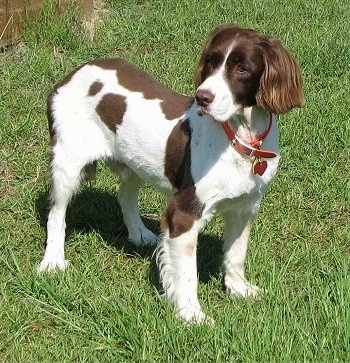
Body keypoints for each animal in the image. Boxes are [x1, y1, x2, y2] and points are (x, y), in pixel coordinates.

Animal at [39, 23, 304, 324]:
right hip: (67, 160)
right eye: (211, 61)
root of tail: (72, 74)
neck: (241, 136)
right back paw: (52, 262)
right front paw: (191, 315)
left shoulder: (245, 206)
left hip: (134, 161)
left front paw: (239, 289)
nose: (202, 97)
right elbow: (187, 273)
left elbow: (236, 253)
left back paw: (140, 235)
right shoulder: (184, 213)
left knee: (125, 195)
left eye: (242, 69)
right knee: (56, 211)